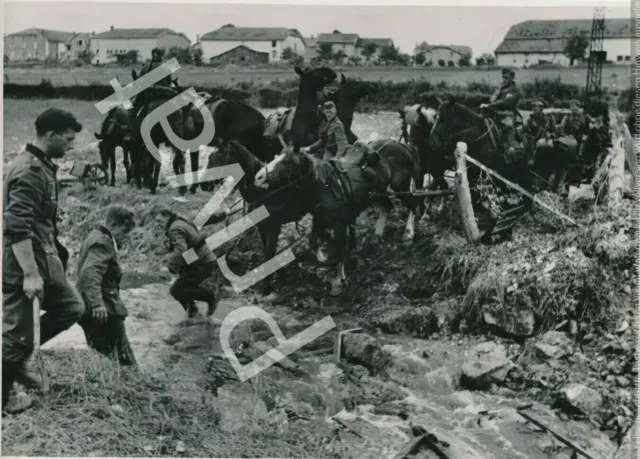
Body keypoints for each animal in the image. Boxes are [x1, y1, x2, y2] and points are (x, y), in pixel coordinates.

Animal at [254, 140, 424, 296]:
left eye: (285, 161)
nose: (258, 177)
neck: (324, 188)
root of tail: (401, 144)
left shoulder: (340, 224)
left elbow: (339, 250)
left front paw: (338, 280)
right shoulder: (319, 221)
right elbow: (313, 242)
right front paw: (324, 259)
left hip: (400, 185)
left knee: (412, 205)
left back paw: (408, 234)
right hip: (376, 194)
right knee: (387, 207)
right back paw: (377, 234)